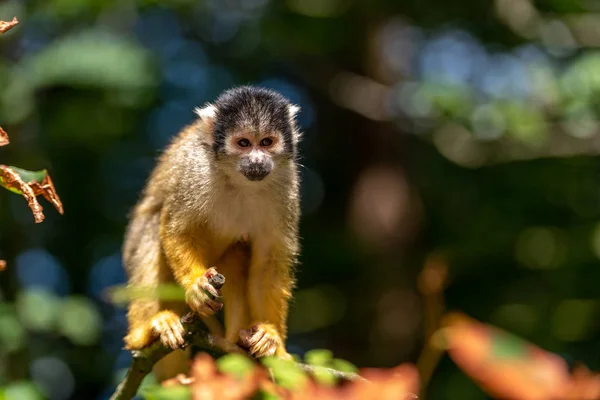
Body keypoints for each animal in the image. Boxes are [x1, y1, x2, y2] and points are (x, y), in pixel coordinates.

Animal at [122, 86, 302, 380]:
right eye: (243, 143)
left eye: (266, 142)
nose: (256, 161)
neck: (239, 180)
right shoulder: (195, 172)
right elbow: (175, 227)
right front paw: (196, 286)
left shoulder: (287, 184)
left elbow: (269, 263)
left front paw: (272, 337)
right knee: (152, 226)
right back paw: (144, 333)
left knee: (240, 249)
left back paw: (238, 340)